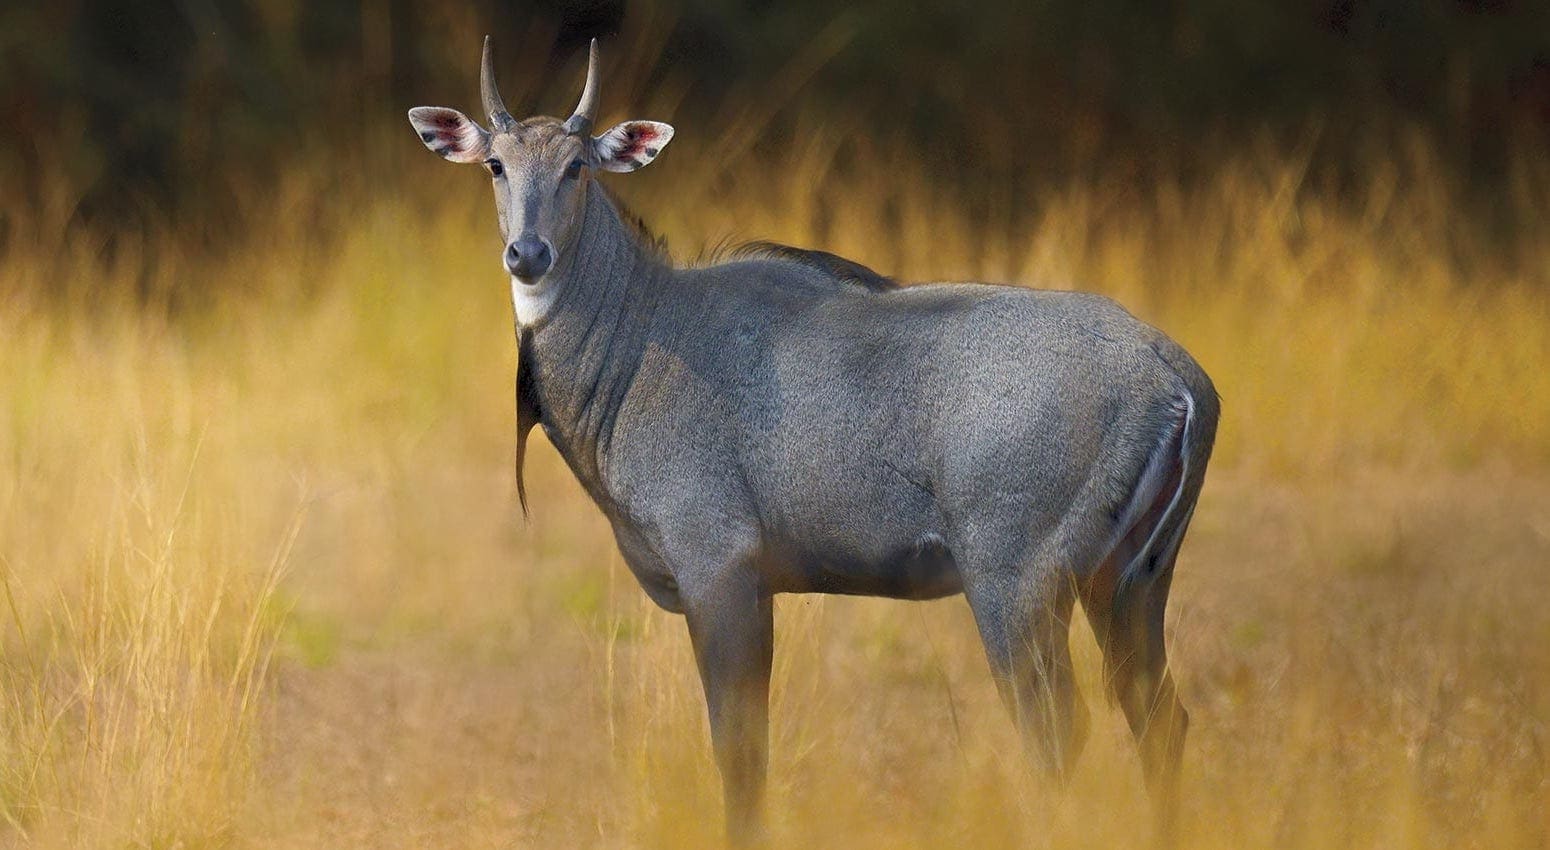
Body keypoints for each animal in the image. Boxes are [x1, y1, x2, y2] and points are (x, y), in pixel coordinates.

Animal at [412, 38, 1221, 843]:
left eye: (576, 166)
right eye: (495, 165)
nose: (529, 254)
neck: (638, 341)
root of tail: (1176, 377)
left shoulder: (719, 568)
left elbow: (738, 752)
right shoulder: (757, 585)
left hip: (1016, 582)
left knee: (1058, 734)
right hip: (1130, 581)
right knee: (1162, 721)